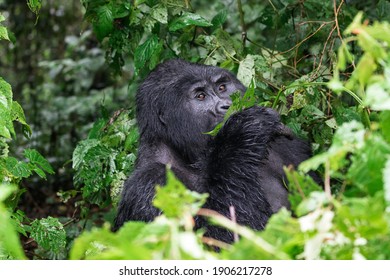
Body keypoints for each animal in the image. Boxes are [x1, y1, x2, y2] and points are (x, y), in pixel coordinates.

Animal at [112, 58, 314, 243]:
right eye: (200, 96)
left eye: (222, 87)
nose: (227, 105)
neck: (188, 157)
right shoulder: (151, 183)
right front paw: (243, 131)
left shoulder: (286, 146)